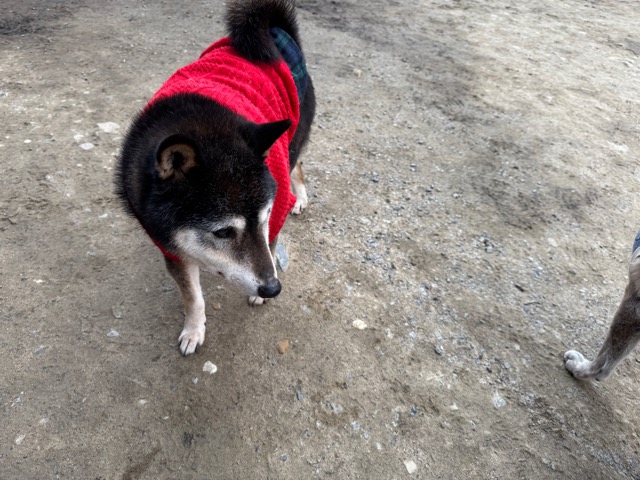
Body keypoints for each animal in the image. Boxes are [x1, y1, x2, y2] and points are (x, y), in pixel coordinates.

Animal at [116, 0, 315, 355]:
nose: (273, 288)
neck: (203, 127)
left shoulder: (274, 210)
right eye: (222, 232)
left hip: (292, 132)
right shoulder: (171, 246)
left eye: (265, 217)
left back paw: (302, 196)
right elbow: (192, 296)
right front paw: (194, 329)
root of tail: (276, 31)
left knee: (298, 163)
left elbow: (270, 243)